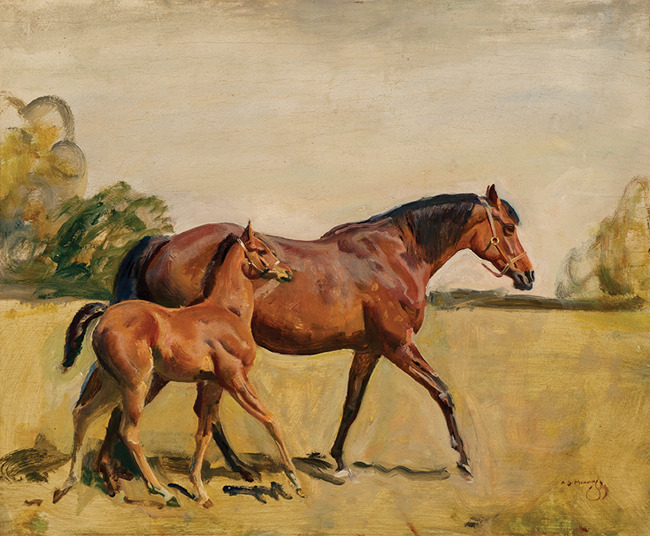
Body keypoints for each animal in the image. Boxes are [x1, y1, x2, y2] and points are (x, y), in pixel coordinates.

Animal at [53, 224, 300, 507]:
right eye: (261, 250)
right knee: (128, 431)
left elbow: (204, 433)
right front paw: (295, 480)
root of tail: (106, 313)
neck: (227, 312)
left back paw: (70, 482)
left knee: (82, 413)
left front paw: (200, 491)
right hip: (136, 384)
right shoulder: (235, 378)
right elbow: (270, 419)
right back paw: (161, 491)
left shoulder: (212, 384)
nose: (287, 273)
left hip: (110, 382)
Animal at [64, 185, 533, 487]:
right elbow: (442, 392)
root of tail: (163, 243)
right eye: (508, 228)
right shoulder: (399, 347)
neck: (395, 255)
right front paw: (465, 460)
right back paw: (122, 471)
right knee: (143, 405)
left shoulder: (369, 351)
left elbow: (351, 405)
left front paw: (337, 461)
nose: (528, 276)